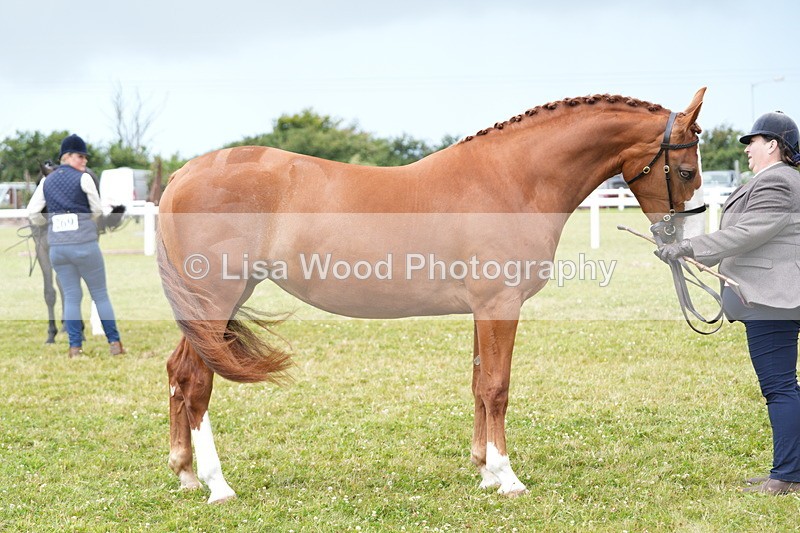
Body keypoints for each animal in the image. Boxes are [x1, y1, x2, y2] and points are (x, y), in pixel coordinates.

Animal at [157, 88, 706, 503]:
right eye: (685, 172)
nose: (679, 242)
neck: (511, 181)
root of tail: (183, 175)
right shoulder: (500, 306)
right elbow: (497, 388)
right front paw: (507, 477)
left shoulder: (482, 310)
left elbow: (479, 384)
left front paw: (484, 471)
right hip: (216, 299)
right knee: (198, 384)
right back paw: (218, 486)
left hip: (210, 308)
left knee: (179, 373)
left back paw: (185, 473)